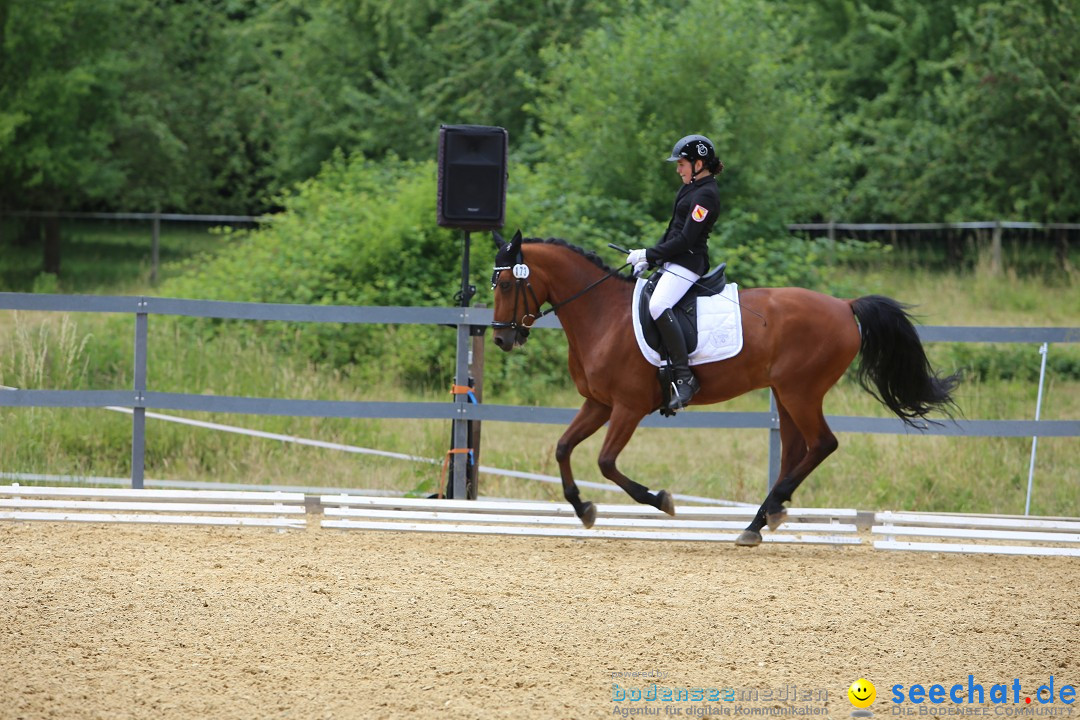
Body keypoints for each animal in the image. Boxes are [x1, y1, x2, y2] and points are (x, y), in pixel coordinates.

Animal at [492, 231, 963, 546]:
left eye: (509, 283)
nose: (501, 339)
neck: (602, 315)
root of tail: (844, 307)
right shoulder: (598, 404)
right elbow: (562, 448)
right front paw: (583, 509)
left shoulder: (627, 406)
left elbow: (606, 463)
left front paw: (661, 500)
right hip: (786, 394)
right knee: (795, 451)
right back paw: (761, 520)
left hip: (801, 391)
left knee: (821, 444)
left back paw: (764, 518)